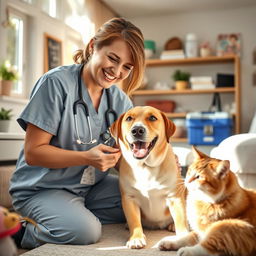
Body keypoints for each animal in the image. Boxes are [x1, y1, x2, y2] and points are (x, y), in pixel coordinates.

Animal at [110, 107, 188, 249]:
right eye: (129, 118)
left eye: (152, 117)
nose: (137, 130)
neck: (145, 167)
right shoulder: (129, 198)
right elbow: (134, 221)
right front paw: (136, 238)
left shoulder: (175, 196)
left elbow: (181, 219)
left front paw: (182, 238)